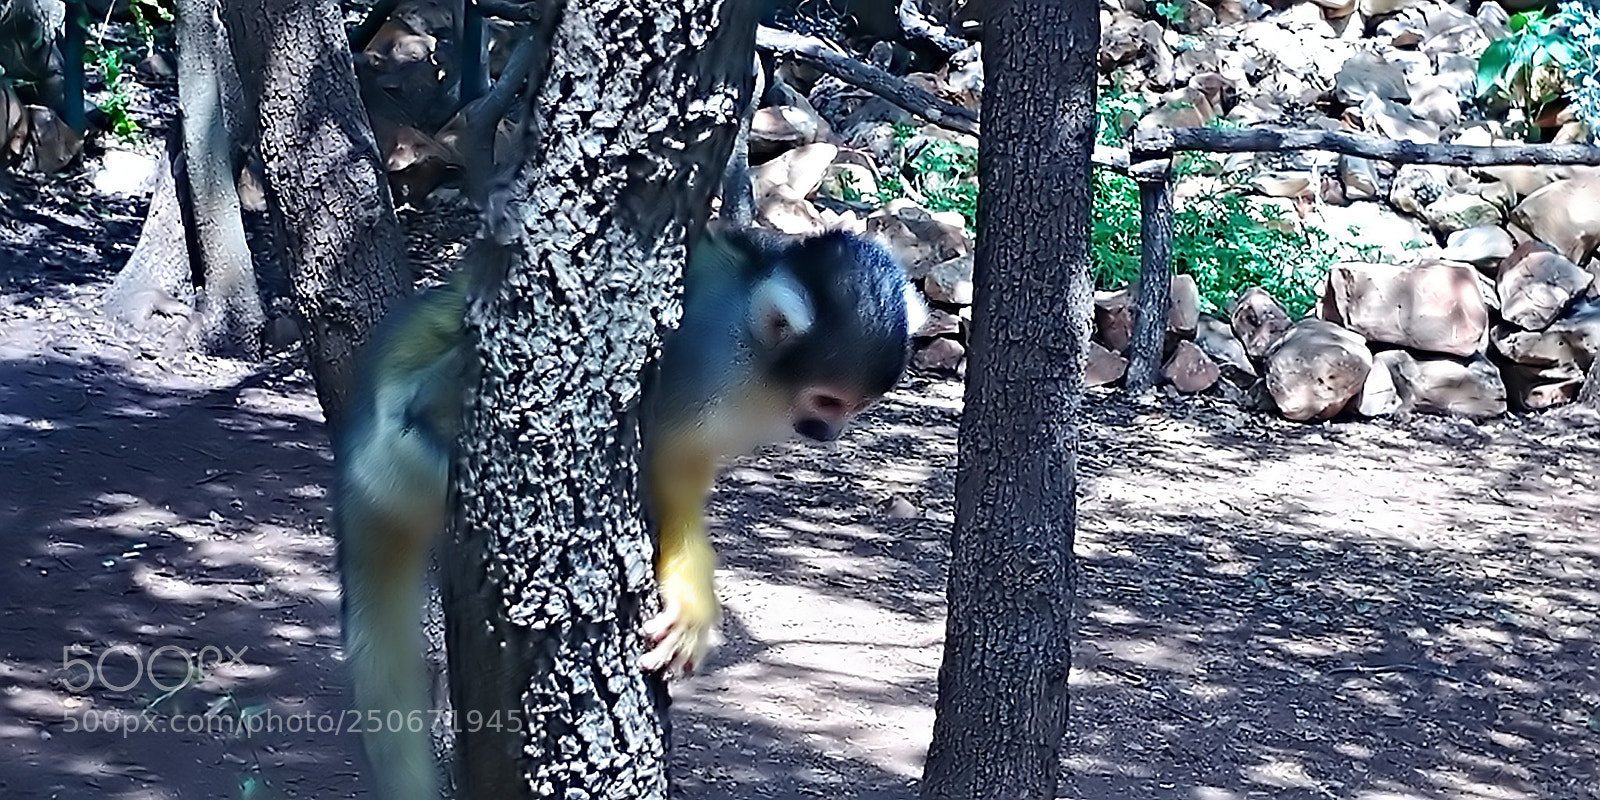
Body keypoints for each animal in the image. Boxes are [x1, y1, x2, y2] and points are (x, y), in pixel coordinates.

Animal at [332, 225, 927, 800]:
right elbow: (662, 456)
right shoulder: (702, 362)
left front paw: (689, 601)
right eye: (828, 401)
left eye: (856, 407)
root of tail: (356, 454)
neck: (757, 363)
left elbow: (681, 475)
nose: (831, 432)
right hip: (406, 461)